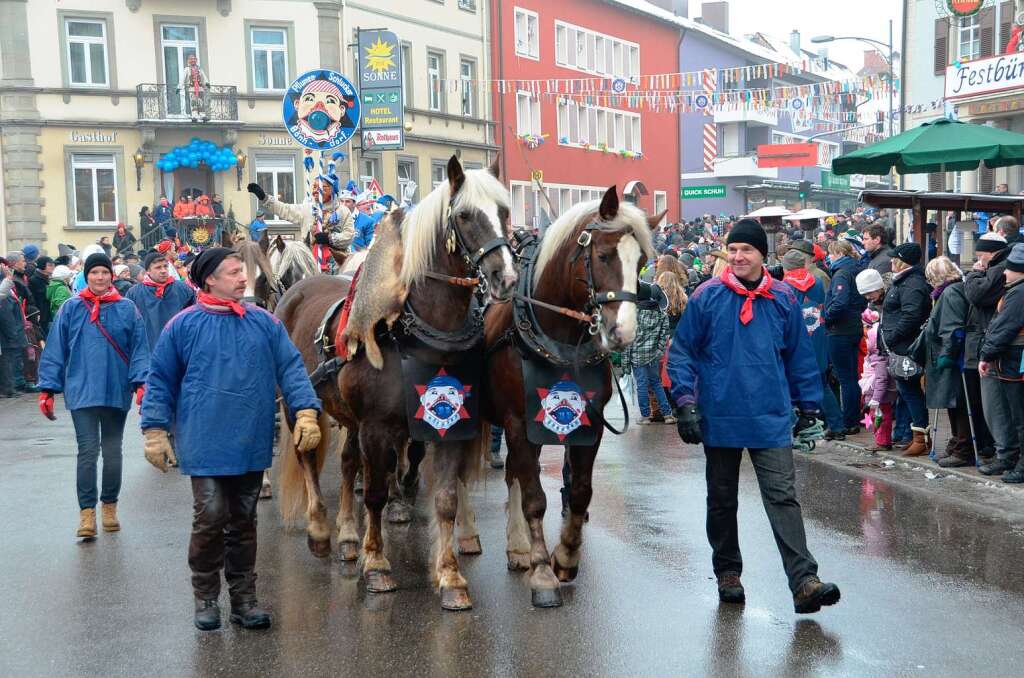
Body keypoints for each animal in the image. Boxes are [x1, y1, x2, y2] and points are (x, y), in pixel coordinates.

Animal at [274, 156, 520, 614]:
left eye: (504, 211)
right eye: (464, 215)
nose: (506, 277)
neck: (416, 333)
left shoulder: (446, 426)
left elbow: (445, 497)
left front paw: (450, 577)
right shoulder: (376, 428)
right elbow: (373, 492)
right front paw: (376, 565)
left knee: (347, 461)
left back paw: (346, 535)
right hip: (300, 405)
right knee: (307, 457)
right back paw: (320, 530)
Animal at [479, 187, 655, 610]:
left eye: (641, 261)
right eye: (603, 256)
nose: (623, 333)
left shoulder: (587, 426)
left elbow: (580, 492)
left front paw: (566, 557)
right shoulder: (517, 423)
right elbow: (534, 498)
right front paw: (543, 572)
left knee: (513, 473)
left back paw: (517, 547)